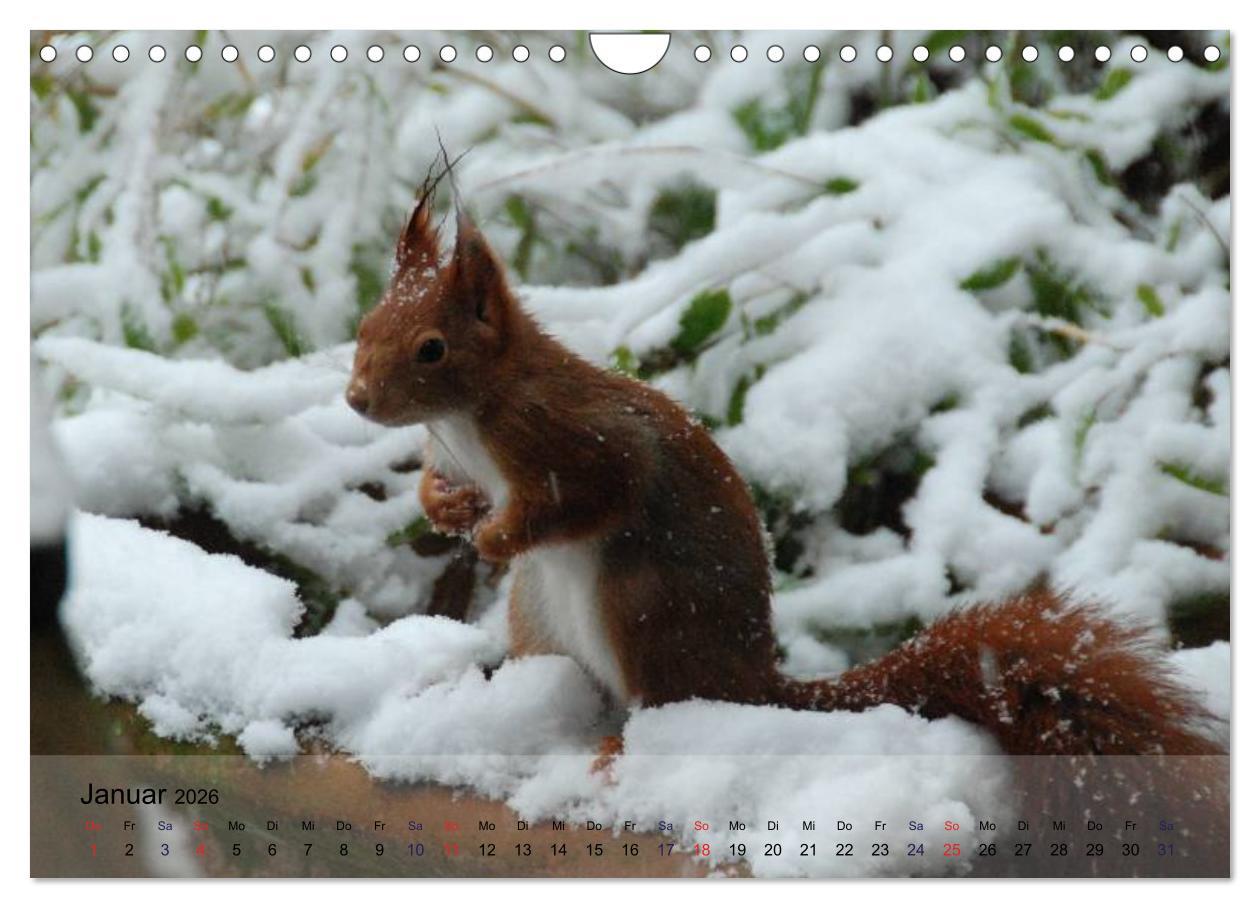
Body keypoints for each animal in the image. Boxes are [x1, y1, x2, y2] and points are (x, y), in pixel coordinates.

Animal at [346, 174, 1226, 770]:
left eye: (432, 348)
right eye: (364, 325)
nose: (356, 398)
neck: (473, 414)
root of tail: (753, 683)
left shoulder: (577, 442)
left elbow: (597, 494)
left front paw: (497, 535)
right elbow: (442, 487)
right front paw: (444, 509)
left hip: (641, 609)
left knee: (663, 704)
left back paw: (621, 749)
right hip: (541, 619)